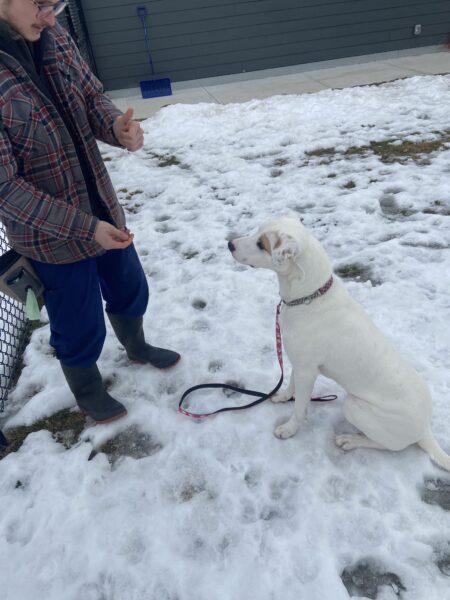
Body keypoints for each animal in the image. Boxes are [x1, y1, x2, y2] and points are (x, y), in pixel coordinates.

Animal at [230, 213, 448, 472]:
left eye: (261, 244)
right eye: (257, 231)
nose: (230, 244)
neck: (308, 296)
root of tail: (425, 429)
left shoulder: (307, 372)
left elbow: (299, 407)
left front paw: (289, 429)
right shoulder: (299, 363)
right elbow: (291, 385)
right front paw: (283, 396)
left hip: (355, 407)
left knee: (390, 446)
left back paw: (351, 440)